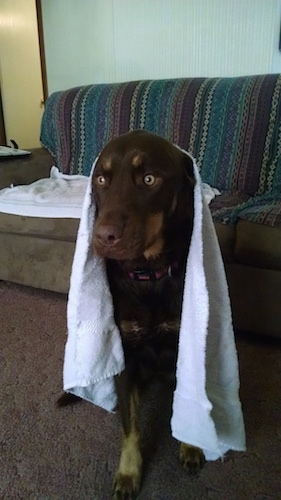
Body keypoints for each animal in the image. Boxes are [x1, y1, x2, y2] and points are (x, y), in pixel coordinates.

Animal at [58, 131, 203, 498]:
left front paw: (192, 444)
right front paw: (128, 472)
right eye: (101, 179)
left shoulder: (183, 345)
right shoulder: (125, 355)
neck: (147, 275)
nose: (103, 237)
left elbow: (188, 398)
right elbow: (130, 425)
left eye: (149, 179)